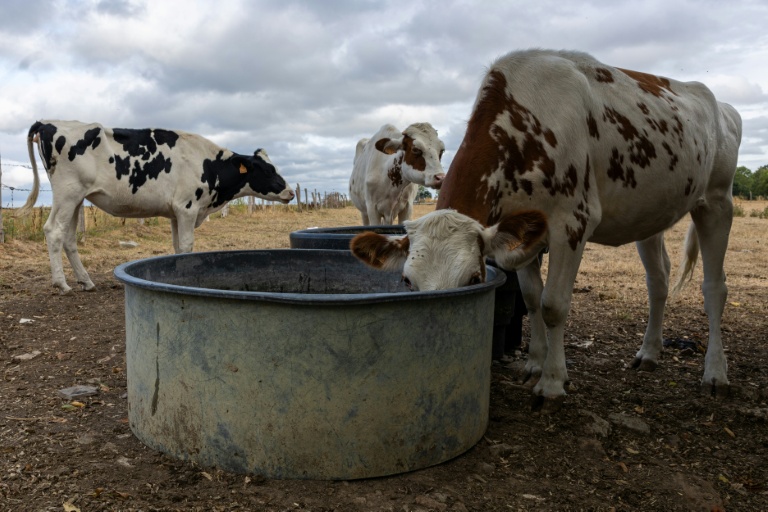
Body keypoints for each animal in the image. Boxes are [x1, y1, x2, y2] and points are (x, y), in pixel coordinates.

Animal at [17, 120, 295, 294]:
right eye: (266, 170)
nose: (291, 192)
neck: (209, 164)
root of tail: (47, 122)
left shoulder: (176, 212)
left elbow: (177, 246)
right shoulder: (187, 208)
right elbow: (186, 246)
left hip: (76, 198)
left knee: (69, 237)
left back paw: (86, 281)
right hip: (67, 192)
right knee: (53, 231)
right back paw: (61, 284)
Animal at [351, 49, 742, 412]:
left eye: (474, 279)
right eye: (406, 281)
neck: (524, 126)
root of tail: (720, 105)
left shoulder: (572, 222)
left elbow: (553, 304)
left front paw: (552, 382)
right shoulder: (522, 231)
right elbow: (531, 298)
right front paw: (535, 364)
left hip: (717, 202)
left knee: (714, 288)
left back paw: (715, 373)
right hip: (649, 213)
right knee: (658, 280)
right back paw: (648, 352)